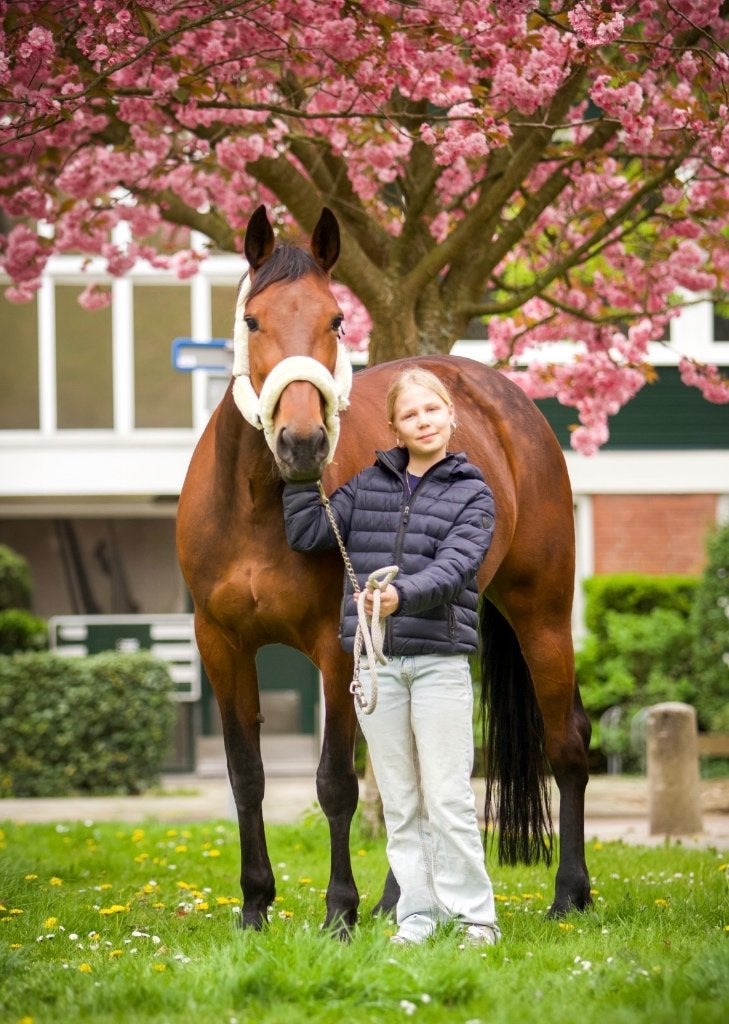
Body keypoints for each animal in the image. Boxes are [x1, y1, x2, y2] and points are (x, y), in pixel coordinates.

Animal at [176, 205, 592, 934]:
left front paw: (337, 913)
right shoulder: (220, 644)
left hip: (540, 611)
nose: (303, 442)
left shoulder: (338, 646)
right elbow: (245, 775)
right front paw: (254, 906)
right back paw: (399, 902)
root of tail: (502, 398)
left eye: (336, 319)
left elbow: (336, 783)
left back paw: (569, 894)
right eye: (253, 320)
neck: (256, 504)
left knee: (567, 742)